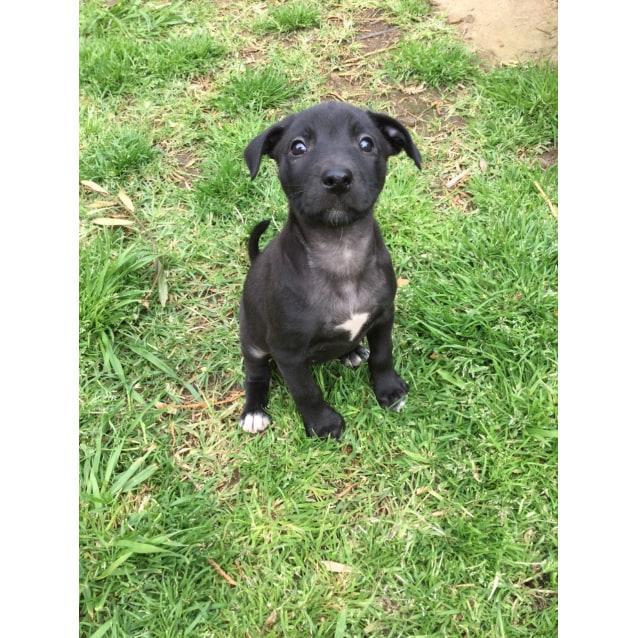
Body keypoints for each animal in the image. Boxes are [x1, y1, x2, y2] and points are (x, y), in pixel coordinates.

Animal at [238, 102, 422, 440]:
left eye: (366, 143)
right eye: (298, 147)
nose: (337, 179)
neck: (341, 251)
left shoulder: (383, 316)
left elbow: (383, 354)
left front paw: (389, 390)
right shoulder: (287, 352)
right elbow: (305, 390)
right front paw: (322, 424)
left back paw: (352, 351)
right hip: (253, 341)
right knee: (255, 374)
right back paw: (254, 411)